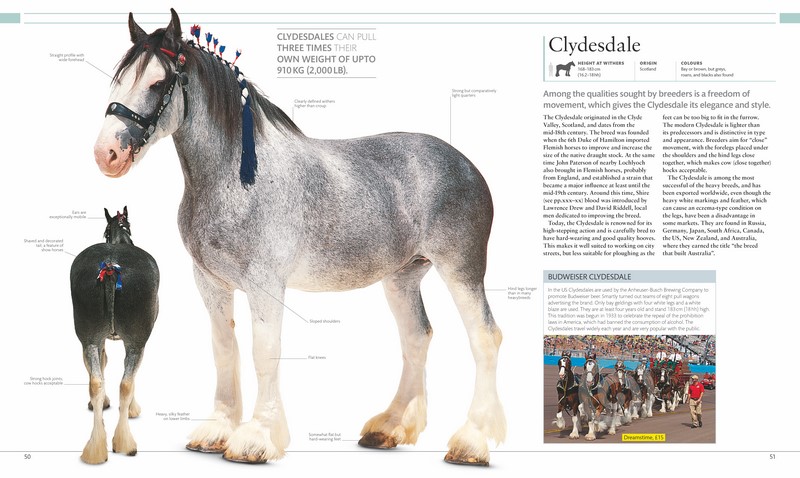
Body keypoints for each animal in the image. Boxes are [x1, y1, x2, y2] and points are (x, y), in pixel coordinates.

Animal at [70, 207, 160, 464]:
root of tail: (110, 266)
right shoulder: (135, 341)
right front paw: (130, 409)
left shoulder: (98, 339)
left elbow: (101, 365)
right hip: (136, 341)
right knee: (126, 383)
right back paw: (124, 443)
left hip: (88, 337)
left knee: (96, 382)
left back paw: (95, 448)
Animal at [93, 10, 505, 465]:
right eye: (118, 81)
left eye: (156, 83)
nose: (106, 154)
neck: (234, 178)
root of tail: (468, 165)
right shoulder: (211, 281)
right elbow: (224, 348)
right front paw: (218, 429)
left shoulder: (265, 283)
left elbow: (263, 350)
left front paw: (256, 438)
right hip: (402, 277)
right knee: (417, 338)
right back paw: (391, 427)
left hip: (461, 269)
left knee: (484, 339)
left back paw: (472, 441)